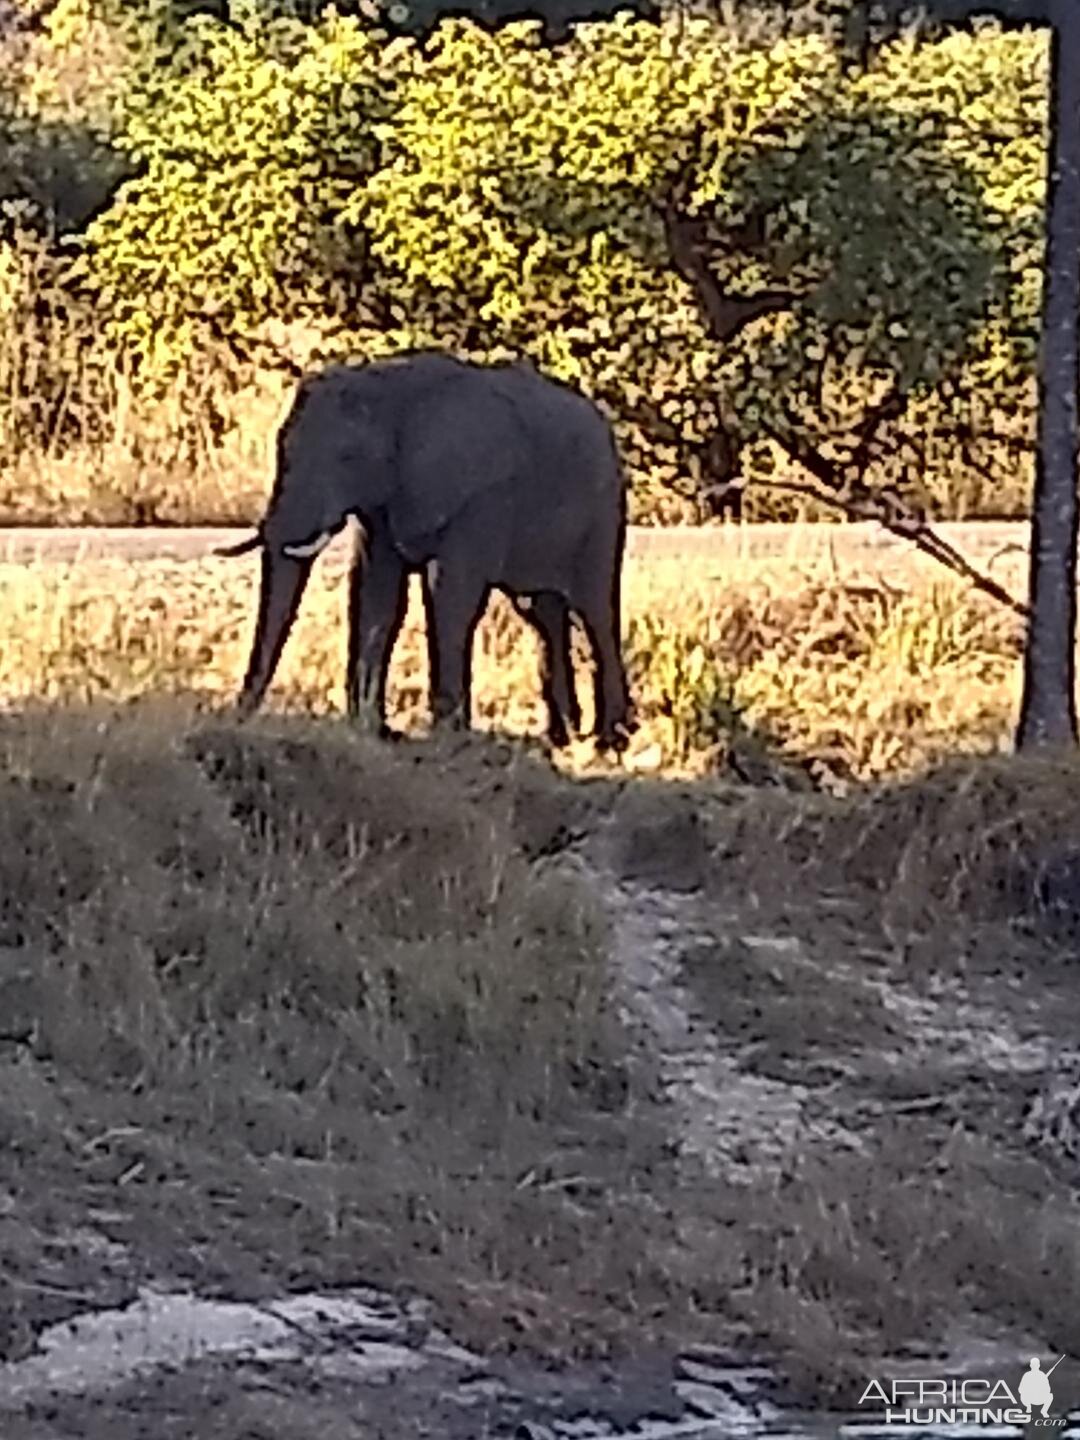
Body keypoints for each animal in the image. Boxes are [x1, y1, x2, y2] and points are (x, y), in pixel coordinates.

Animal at [224, 352, 639, 748]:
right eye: (281, 449)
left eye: (346, 458)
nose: (238, 716)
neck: (387, 388)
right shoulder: (384, 504)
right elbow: (377, 595)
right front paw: (374, 732)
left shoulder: (479, 499)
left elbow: (451, 596)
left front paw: (447, 734)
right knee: (544, 615)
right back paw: (563, 736)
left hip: (604, 512)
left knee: (595, 611)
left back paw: (611, 739)